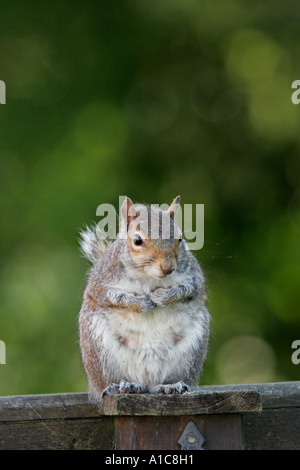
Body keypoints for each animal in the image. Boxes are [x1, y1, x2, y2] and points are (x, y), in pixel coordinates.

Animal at [78, 195, 210, 400]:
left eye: (180, 238)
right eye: (137, 240)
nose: (168, 267)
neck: (148, 277)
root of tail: (146, 380)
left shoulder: (194, 276)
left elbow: (191, 289)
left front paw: (164, 296)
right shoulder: (101, 281)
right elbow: (110, 296)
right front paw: (141, 303)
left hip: (192, 350)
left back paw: (171, 385)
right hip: (98, 348)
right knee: (107, 382)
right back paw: (121, 386)